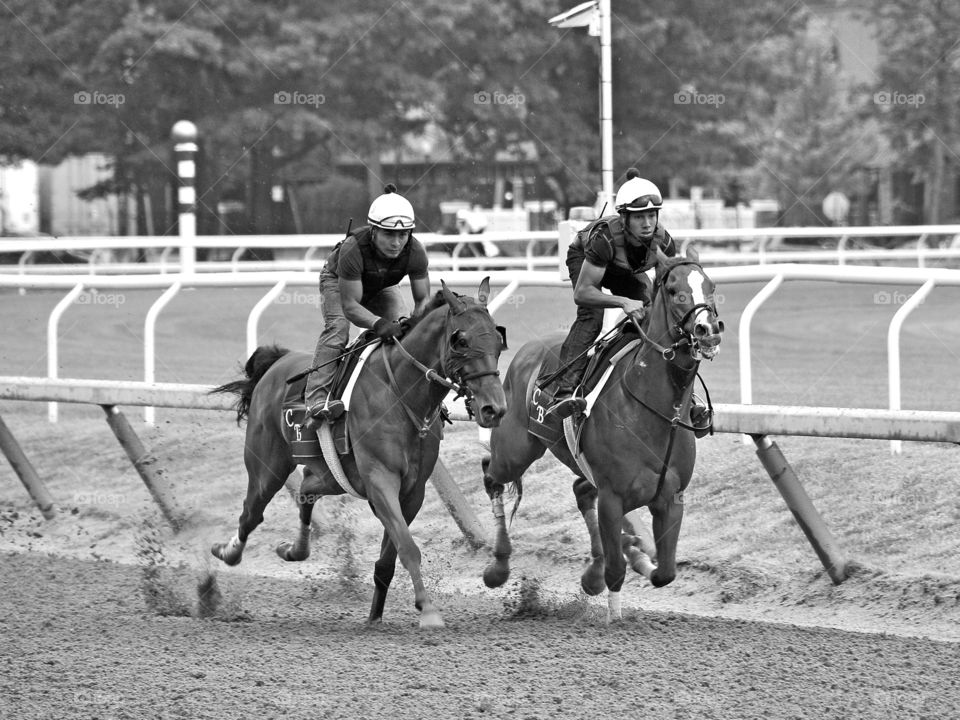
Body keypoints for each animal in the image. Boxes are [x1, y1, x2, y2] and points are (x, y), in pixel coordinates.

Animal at [211, 278, 510, 628]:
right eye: (461, 341)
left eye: (498, 339)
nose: (494, 409)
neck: (400, 393)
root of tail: (277, 363)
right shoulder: (380, 481)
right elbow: (408, 547)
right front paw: (429, 610)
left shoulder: (412, 491)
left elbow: (389, 558)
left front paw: (375, 616)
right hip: (267, 465)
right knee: (251, 512)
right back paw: (228, 552)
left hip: (330, 475)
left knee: (306, 489)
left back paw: (293, 549)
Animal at [480, 248, 720, 620]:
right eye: (673, 290)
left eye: (710, 285)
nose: (707, 329)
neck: (654, 409)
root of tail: (527, 349)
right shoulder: (612, 496)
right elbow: (616, 571)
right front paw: (615, 609)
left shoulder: (671, 496)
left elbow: (665, 572)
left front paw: (635, 555)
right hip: (516, 450)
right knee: (491, 476)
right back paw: (498, 567)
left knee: (580, 490)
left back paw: (597, 568)